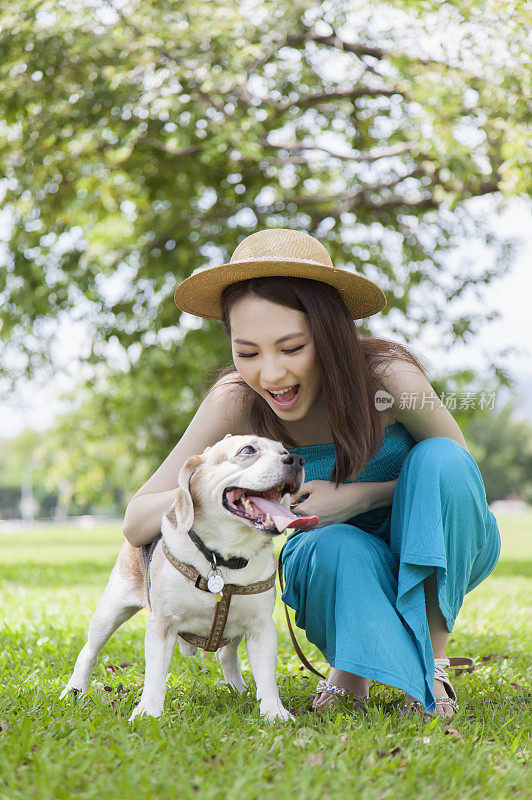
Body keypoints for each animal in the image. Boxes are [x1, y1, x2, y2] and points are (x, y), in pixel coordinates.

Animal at [59, 434, 316, 720]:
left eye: (284, 451)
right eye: (248, 450)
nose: (297, 460)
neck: (221, 558)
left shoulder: (261, 627)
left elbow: (267, 677)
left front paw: (274, 712)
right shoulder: (162, 624)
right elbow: (155, 675)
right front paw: (148, 712)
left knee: (226, 656)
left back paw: (239, 690)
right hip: (109, 613)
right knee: (88, 652)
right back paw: (72, 691)